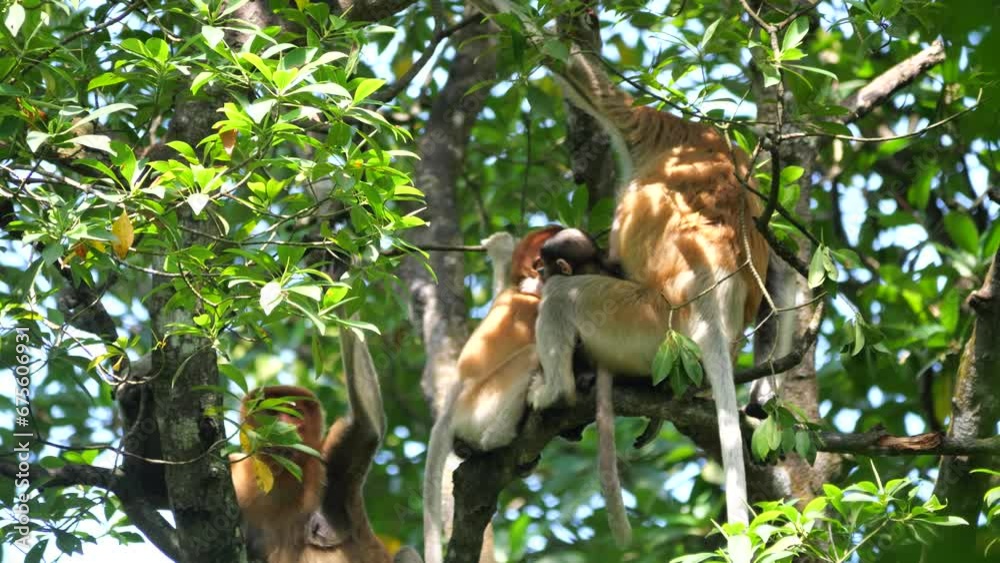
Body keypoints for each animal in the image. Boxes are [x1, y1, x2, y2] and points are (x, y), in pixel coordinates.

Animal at [232, 324, 424, 560]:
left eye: (294, 413)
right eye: (272, 412)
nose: (284, 426)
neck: (281, 473)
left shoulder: (326, 463)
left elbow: (368, 425)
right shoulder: (238, 473)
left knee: (406, 552)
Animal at [466, 2, 764, 556]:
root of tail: (712, 318)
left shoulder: (645, 126)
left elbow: (582, 80)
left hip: (646, 325)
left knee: (564, 298)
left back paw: (555, 390)